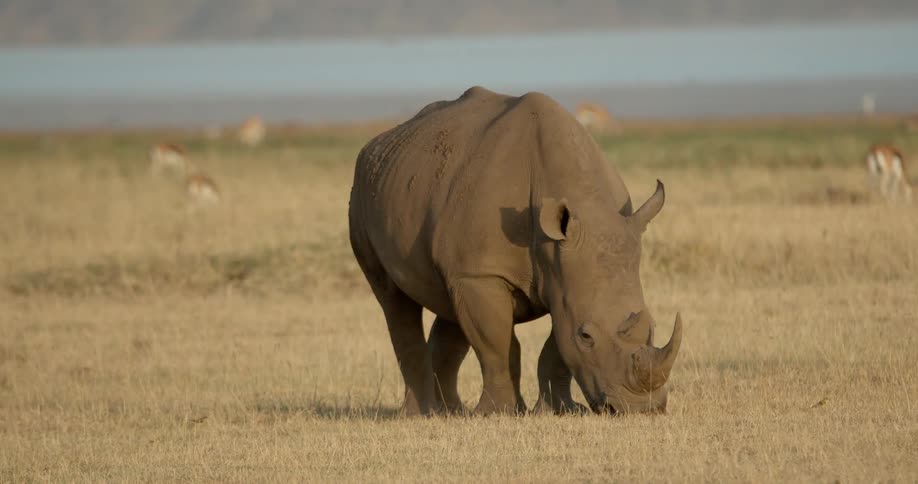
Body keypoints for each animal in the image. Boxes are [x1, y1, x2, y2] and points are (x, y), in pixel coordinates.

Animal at [348, 86, 683, 416]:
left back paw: (451, 412)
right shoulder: (483, 274)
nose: (642, 408)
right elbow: (499, 346)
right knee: (395, 301)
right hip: (364, 193)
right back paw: (420, 414)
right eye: (586, 336)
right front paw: (499, 413)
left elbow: (555, 348)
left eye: (653, 327)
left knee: (449, 300)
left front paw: (560, 410)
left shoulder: (563, 282)